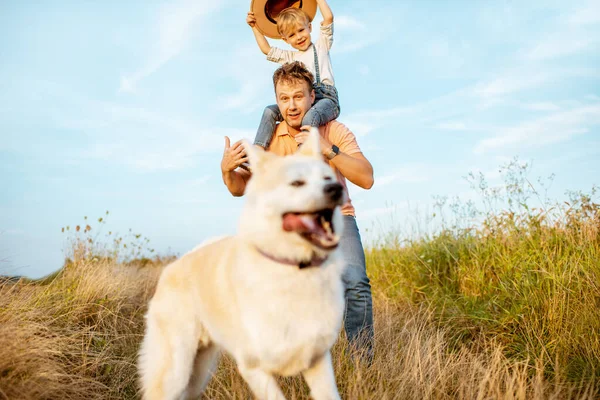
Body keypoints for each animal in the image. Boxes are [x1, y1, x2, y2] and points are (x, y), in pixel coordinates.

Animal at [140, 129, 344, 400]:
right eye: (297, 183)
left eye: (327, 178)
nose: (336, 189)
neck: (293, 267)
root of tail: (173, 266)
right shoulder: (253, 368)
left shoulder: (318, 360)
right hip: (176, 373)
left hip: (198, 375)